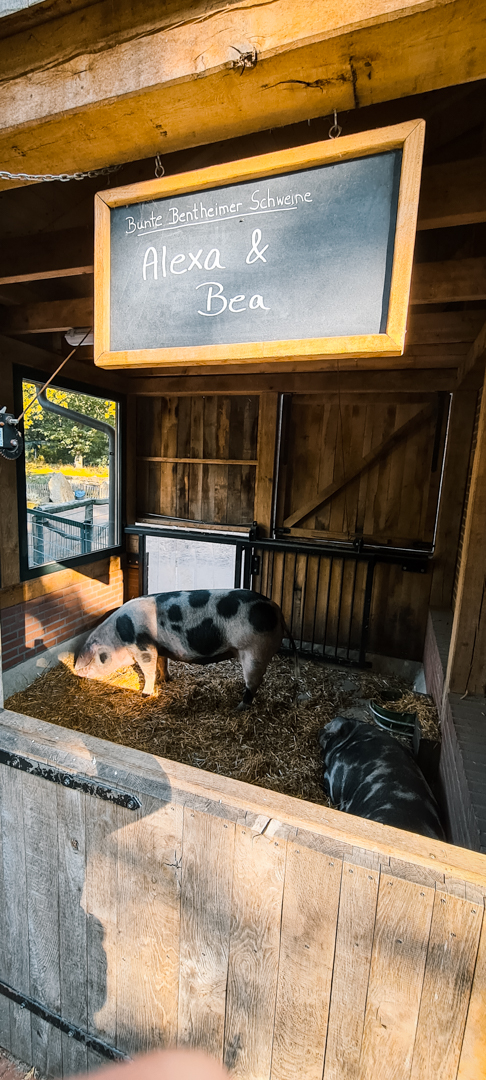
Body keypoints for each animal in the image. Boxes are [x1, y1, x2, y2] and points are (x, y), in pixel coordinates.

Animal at [74, 589, 288, 708]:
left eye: (93, 657)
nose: (76, 670)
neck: (119, 637)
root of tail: (277, 609)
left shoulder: (144, 647)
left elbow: (149, 669)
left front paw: (145, 694)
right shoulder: (159, 647)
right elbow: (162, 663)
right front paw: (166, 680)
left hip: (254, 650)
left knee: (254, 682)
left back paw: (240, 707)